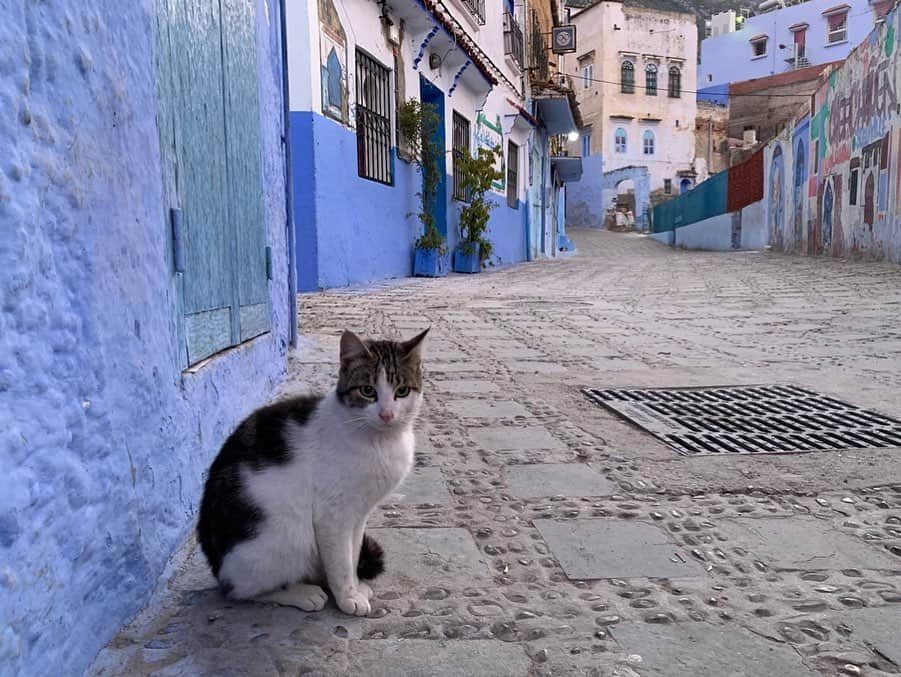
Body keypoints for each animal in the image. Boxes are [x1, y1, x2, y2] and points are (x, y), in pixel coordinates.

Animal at [199, 328, 430, 616]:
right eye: (368, 391)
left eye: (402, 391)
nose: (387, 414)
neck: (380, 441)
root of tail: (215, 564)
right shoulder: (332, 515)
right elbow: (341, 562)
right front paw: (347, 597)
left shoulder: (358, 514)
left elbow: (352, 553)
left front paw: (354, 586)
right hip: (285, 536)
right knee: (240, 590)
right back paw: (300, 593)